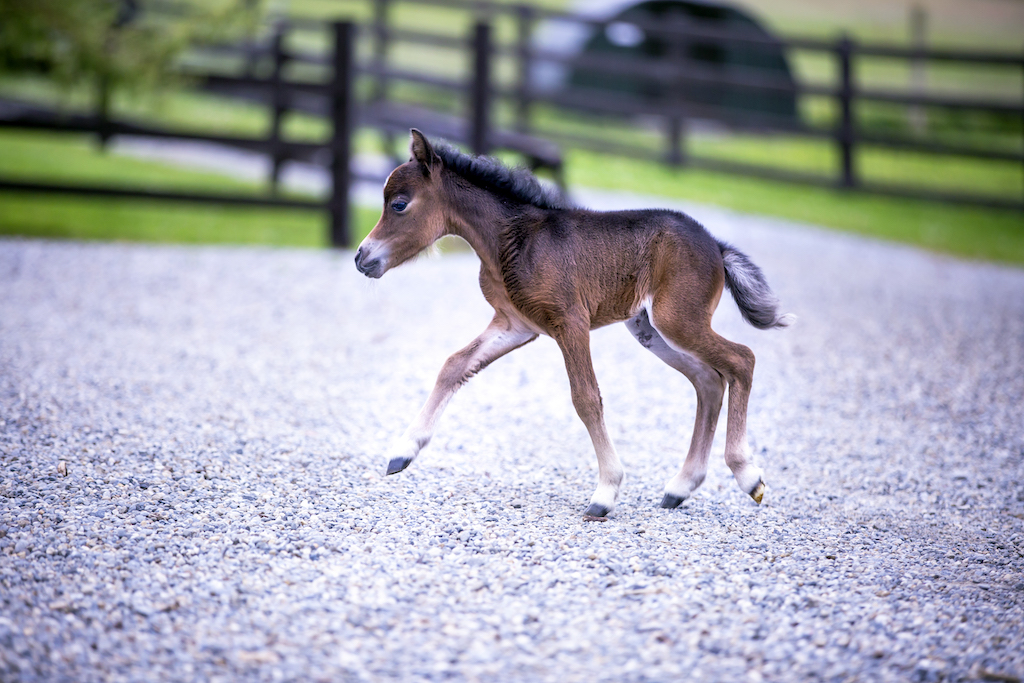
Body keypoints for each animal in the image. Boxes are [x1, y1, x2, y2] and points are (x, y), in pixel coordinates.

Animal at [355, 129, 791, 519]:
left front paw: (606, 492)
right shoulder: (515, 324)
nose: (362, 257)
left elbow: (586, 398)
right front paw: (403, 451)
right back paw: (681, 487)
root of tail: (716, 246)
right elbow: (453, 366)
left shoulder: (570, 321)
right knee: (708, 380)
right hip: (649, 329)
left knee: (741, 360)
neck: (510, 240)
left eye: (398, 204)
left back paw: (747, 476)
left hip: (678, 318)